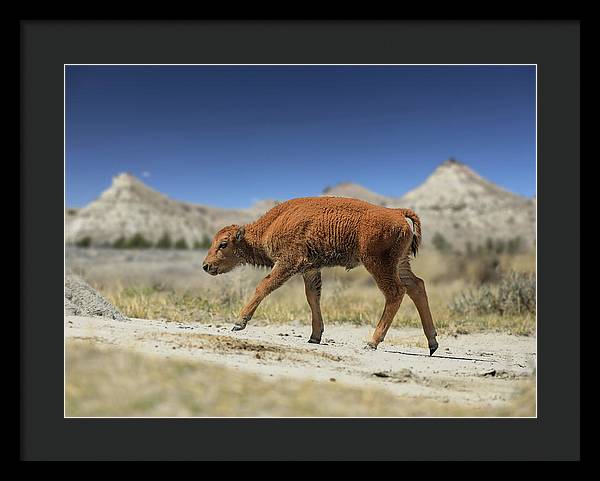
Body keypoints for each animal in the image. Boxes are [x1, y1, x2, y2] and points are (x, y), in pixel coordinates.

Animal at [204, 196, 438, 356]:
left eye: (223, 244)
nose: (206, 265)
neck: (271, 225)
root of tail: (397, 213)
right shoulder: (310, 270)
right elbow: (312, 298)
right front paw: (315, 337)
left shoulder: (288, 263)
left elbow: (264, 286)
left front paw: (239, 322)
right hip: (401, 263)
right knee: (417, 286)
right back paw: (432, 343)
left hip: (378, 264)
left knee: (395, 292)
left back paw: (372, 342)